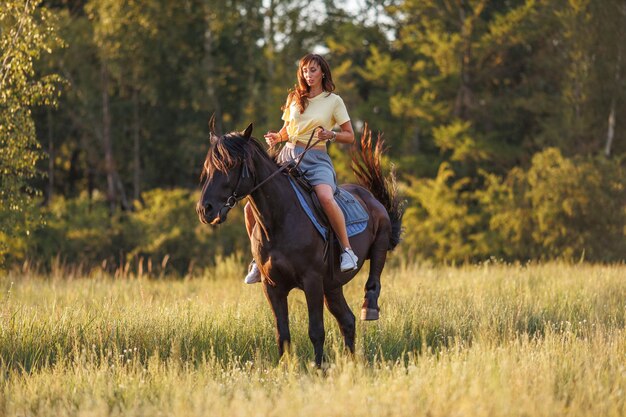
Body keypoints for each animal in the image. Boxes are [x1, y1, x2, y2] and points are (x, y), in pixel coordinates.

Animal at [196, 122, 404, 364]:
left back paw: (368, 307)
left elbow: (316, 331)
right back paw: (351, 363)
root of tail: (369, 197)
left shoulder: (312, 281)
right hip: (332, 286)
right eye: (208, 167)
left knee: (373, 280)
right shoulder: (272, 287)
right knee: (347, 321)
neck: (279, 220)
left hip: (377, 246)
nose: (205, 210)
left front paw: (319, 367)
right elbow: (282, 334)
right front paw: (286, 368)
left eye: (230, 164)